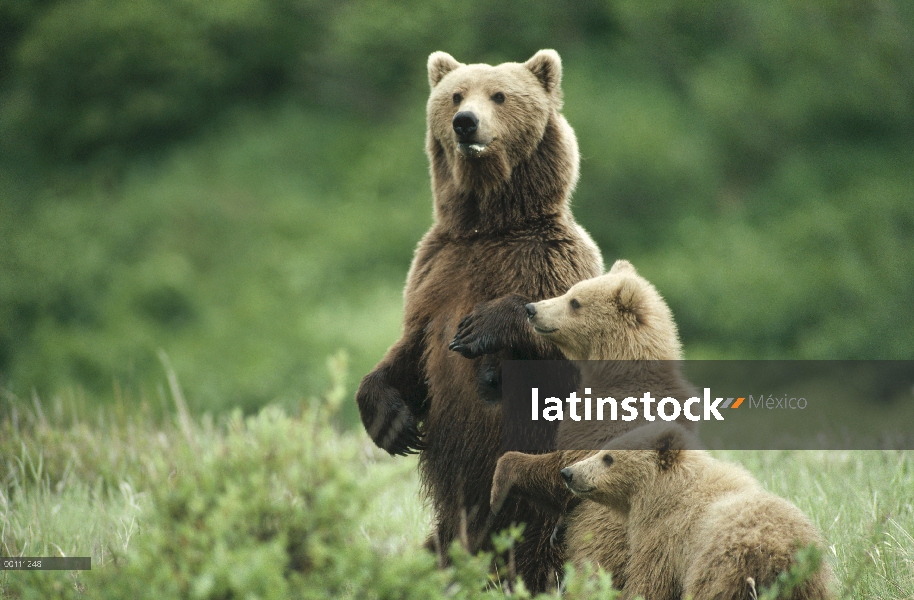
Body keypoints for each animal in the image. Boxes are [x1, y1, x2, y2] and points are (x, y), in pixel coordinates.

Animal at [352, 50, 604, 592]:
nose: (465, 122)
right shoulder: (434, 272)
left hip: (544, 507)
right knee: (438, 548)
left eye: (500, 95)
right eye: (454, 95)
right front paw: (390, 421)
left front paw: (485, 326)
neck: (489, 225)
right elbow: (410, 350)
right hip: (453, 526)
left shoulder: (552, 261)